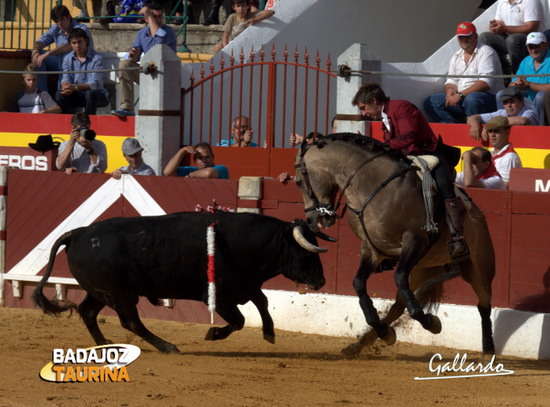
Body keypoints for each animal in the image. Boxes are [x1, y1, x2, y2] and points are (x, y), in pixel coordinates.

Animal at [31, 214, 328, 354]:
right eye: (307, 252)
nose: (321, 281)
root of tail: (78, 233)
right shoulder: (220, 297)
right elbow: (240, 320)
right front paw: (213, 334)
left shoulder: (245, 285)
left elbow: (262, 302)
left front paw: (269, 332)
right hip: (120, 294)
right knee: (130, 321)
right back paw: (167, 346)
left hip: (102, 291)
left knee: (88, 312)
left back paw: (106, 344)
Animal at [296, 134, 498, 356]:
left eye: (298, 182)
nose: (312, 221)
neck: (370, 184)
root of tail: (478, 213)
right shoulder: (372, 249)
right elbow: (359, 283)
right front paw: (385, 332)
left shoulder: (415, 240)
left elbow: (399, 278)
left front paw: (431, 322)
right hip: (423, 269)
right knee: (399, 304)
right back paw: (360, 344)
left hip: (479, 267)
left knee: (484, 305)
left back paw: (488, 350)